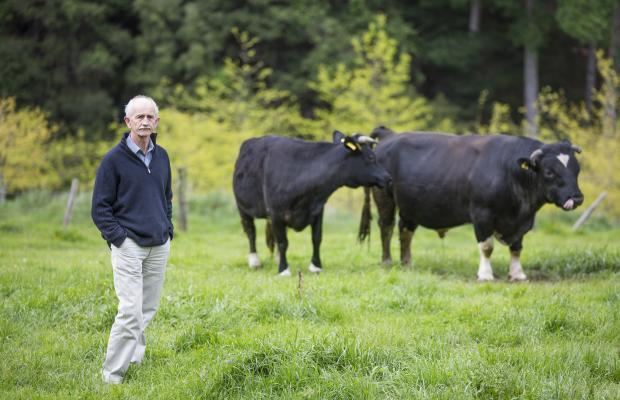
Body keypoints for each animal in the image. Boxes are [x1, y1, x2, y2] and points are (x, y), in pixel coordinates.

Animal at [235, 130, 390, 276]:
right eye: (371, 157)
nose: (388, 177)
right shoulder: (275, 212)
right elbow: (283, 242)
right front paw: (283, 270)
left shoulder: (317, 209)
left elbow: (316, 238)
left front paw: (315, 266)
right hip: (243, 207)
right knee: (251, 232)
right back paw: (255, 261)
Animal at [360, 128, 584, 282]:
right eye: (549, 172)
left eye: (577, 169)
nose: (577, 197)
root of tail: (390, 134)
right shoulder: (482, 214)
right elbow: (486, 247)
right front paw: (485, 275)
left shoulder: (523, 221)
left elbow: (517, 247)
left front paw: (517, 274)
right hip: (384, 197)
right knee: (387, 227)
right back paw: (387, 261)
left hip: (411, 205)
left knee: (405, 230)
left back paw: (407, 263)